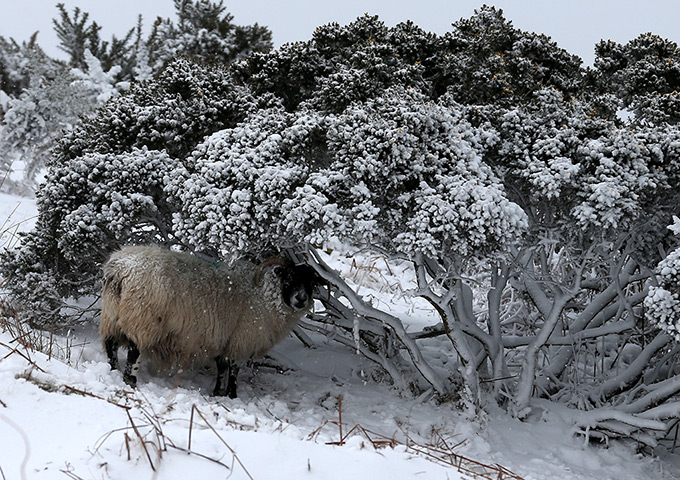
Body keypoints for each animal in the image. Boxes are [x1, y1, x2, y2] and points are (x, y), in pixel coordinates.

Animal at [100, 245, 320, 398]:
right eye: (288, 278)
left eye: (311, 282)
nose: (301, 299)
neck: (263, 297)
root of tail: (120, 270)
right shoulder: (240, 338)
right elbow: (233, 369)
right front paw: (232, 395)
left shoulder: (224, 338)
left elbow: (222, 366)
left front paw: (218, 393)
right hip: (142, 320)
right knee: (134, 352)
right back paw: (130, 381)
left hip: (112, 317)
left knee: (110, 345)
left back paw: (113, 370)